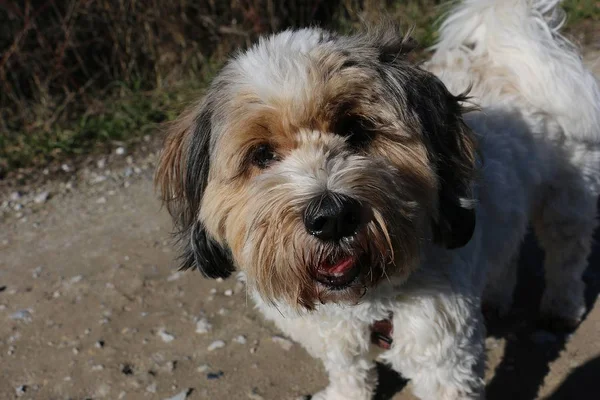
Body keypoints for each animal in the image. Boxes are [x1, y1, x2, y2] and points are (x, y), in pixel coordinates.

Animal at [156, 1, 600, 398]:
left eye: (356, 130)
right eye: (262, 155)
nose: (331, 217)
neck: (366, 301)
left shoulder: (445, 358)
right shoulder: (338, 342)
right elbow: (349, 373)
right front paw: (345, 394)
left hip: (567, 198)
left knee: (567, 255)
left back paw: (561, 306)